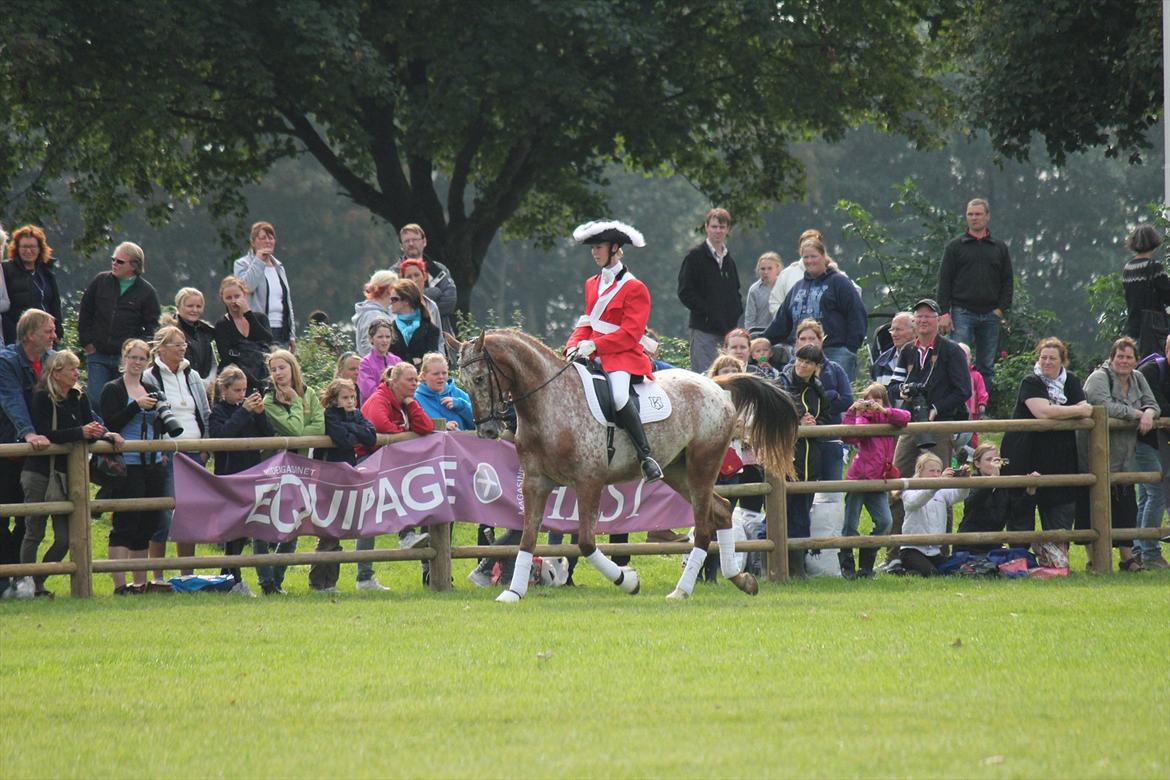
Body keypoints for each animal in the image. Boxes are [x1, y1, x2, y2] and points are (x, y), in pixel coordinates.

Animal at [442, 329, 800, 603]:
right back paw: (740, 579)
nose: (487, 431)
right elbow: (527, 539)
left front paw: (628, 580)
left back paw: (681, 591)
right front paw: (513, 593)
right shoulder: (535, 482)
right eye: (463, 382)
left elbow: (586, 543)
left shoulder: (588, 481)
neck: (549, 402)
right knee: (723, 511)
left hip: (702, 465)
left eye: (480, 378)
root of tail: (714, 384)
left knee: (703, 528)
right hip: (678, 472)